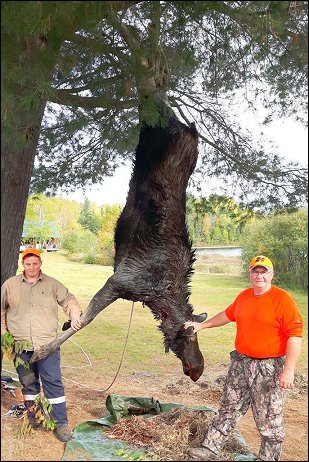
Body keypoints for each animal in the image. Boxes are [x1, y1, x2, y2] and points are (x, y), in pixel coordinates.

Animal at [30, 109, 207, 382]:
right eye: (190, 338)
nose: (199, 369)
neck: (159, 299)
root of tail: (189, 129)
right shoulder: (119, 282)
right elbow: (87, 319)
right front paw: (41, 351)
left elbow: (81, 316)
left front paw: (67, 322)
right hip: (154, 132)